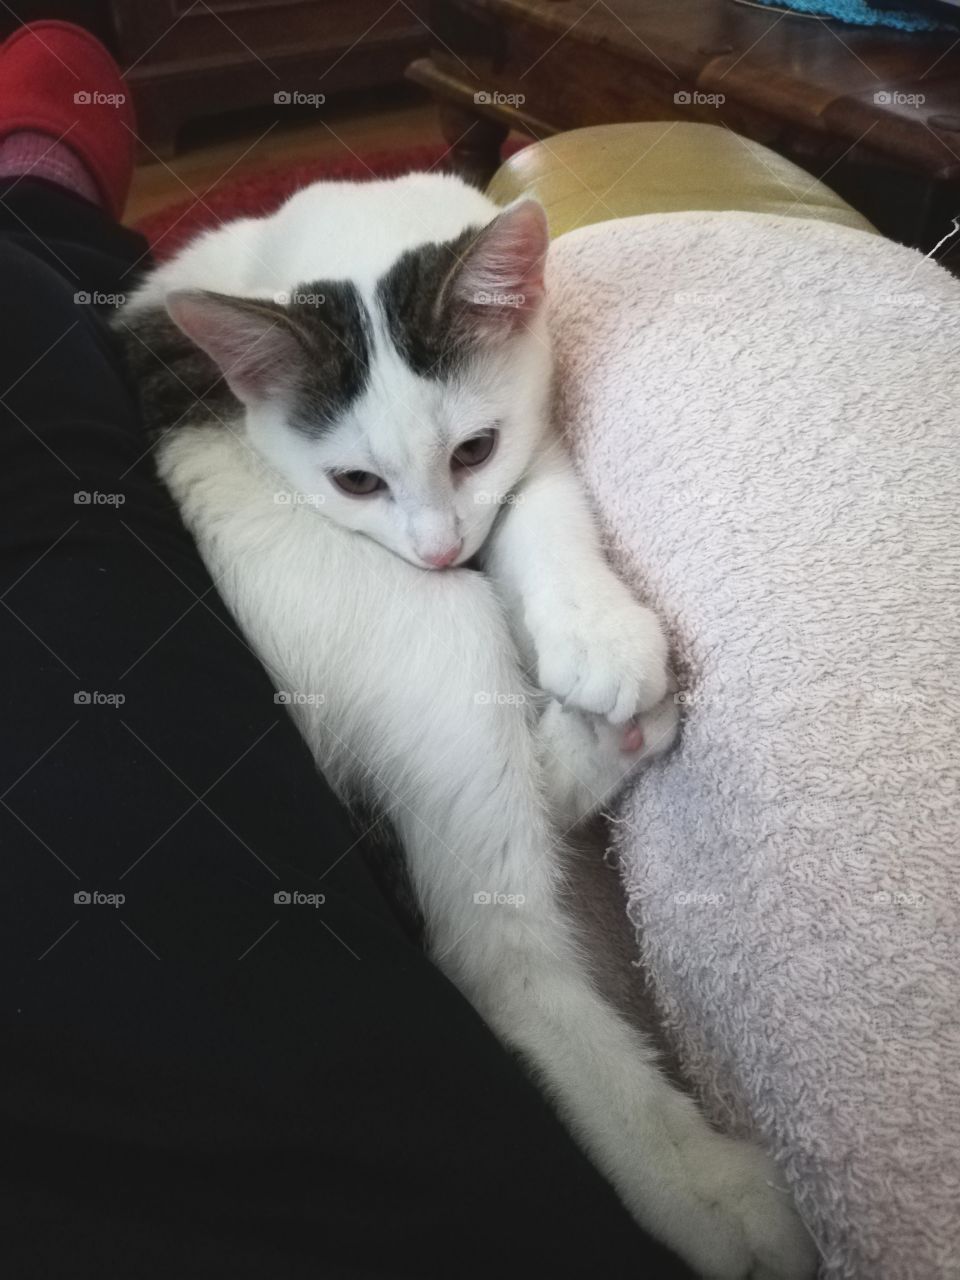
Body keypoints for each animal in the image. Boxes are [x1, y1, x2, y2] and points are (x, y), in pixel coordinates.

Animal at [118, 172, 814, 1280]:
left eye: (472, 449)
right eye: (356, 481)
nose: (443, 551)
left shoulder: (527, 433)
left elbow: (542, 499)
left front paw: (591, 627)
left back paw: (603, 737)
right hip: (421, 637)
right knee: (491, 943)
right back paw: (698, 1183)